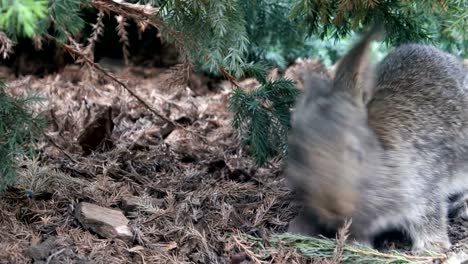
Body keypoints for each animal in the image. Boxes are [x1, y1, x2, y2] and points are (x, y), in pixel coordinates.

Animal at [284, 25, 468, 254]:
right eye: (300, 160)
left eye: (356, 153)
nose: (333, 208)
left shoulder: (423, 189)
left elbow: (428, 218)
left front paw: (430, 248)